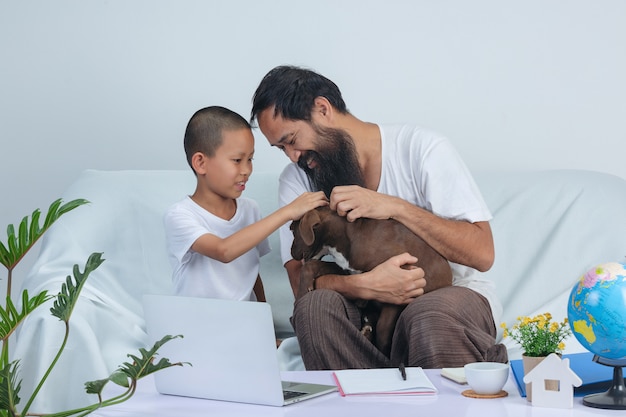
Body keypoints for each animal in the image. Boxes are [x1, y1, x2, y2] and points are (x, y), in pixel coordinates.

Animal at [290, 205, 450, 354]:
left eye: (292, 231)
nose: (291, 253)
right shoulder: (349, 271)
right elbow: (312, 265)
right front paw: (302, 292)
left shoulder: (403, 278)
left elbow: (383, 329)